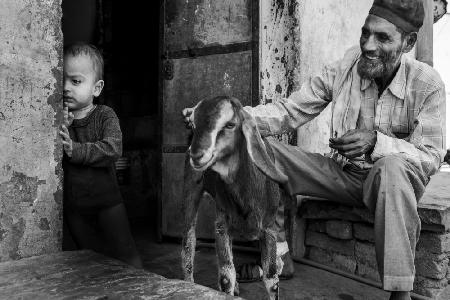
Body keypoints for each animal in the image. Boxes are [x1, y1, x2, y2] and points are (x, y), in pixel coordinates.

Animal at [180, 95, 292, 298]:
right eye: (193, 124)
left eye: (230, 124)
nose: (197, 155)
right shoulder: (221, 227)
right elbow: (226, 275)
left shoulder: (269, 229)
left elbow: (271, 278)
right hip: (190, 188)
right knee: (188, 242)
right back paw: (188, 285)